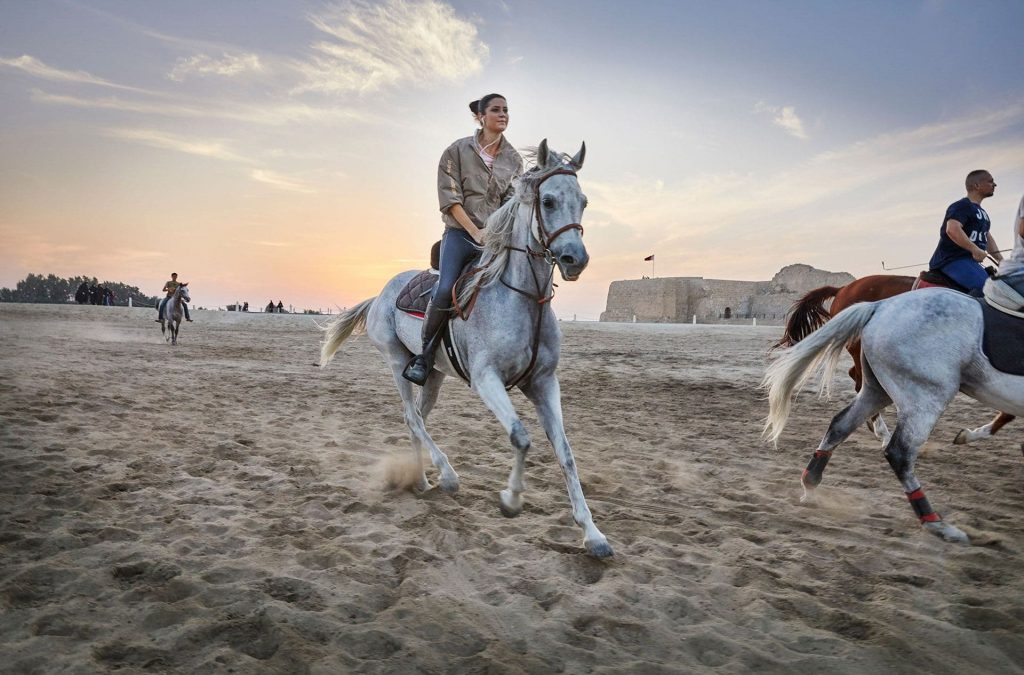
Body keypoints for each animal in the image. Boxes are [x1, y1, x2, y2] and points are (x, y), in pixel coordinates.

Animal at [319, 140, 610, 557]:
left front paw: (594, 534)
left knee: (417, 419)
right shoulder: (486, 380)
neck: (521, 300)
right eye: (549, 200)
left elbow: (565, 452)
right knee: (412, 417)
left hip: (433, 375)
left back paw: (422, 480)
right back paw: (447, 476)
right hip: (396, 362)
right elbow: (521, 437)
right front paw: (511, 500)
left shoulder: (544, 384)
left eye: (583, 201)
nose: (575, 259)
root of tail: (381, 293)